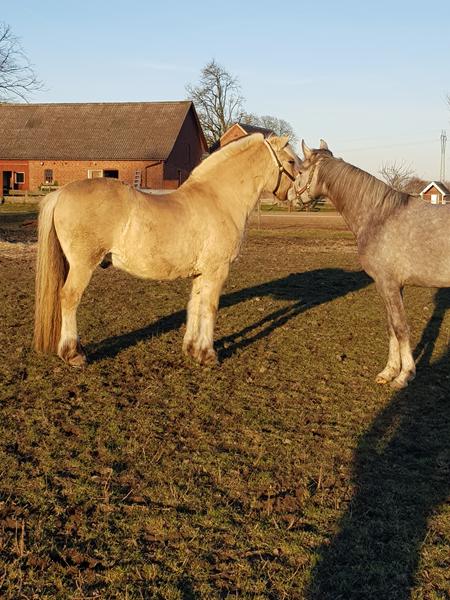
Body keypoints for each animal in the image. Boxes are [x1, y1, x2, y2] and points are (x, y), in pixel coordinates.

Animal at [34, 135, 298, 366]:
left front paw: (192, 350)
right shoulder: (217, 270)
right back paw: (73, 354)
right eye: (292, 161)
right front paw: (208, 354)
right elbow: (210, 308)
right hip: (82, 265)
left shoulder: (201, 273)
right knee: (69, 298)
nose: (297, 196)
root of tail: (60, 193)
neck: (218, 198)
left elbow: (195, 305)